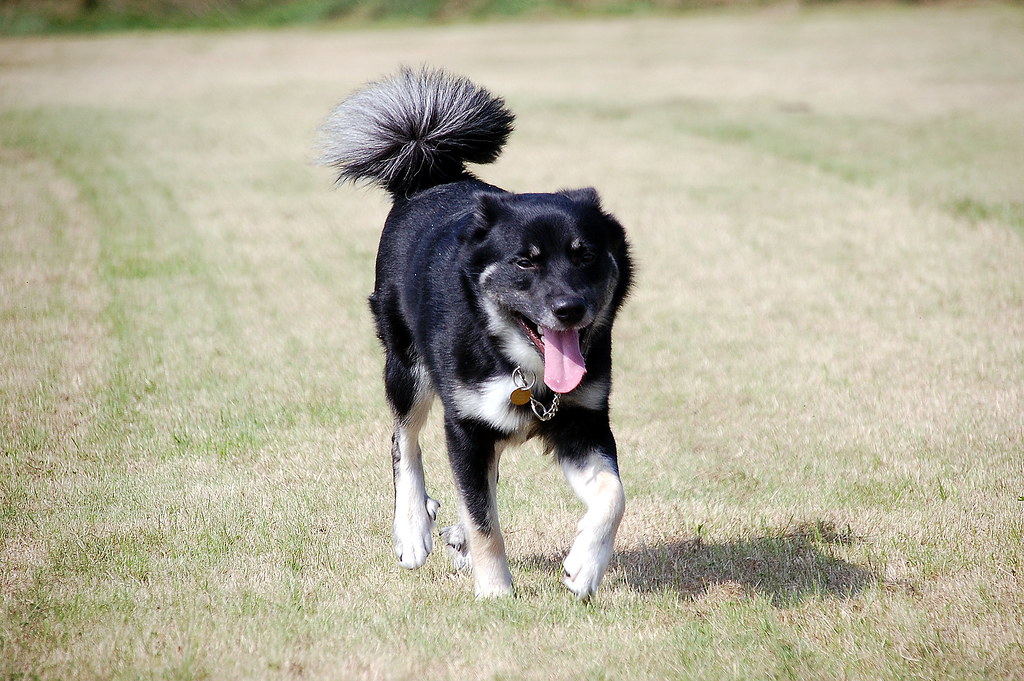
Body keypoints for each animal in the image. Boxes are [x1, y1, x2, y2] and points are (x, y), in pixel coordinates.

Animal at [317, 67, 630, 602]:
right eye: (525, 261)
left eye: (585, 254)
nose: (570, 310)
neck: (521, 365)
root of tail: (429, 177)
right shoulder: (464, 424)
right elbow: (485, 520)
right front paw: (496, 591)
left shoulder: (583, 421)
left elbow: (613, 495)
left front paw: (584, 568)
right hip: (407, 368)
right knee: (404, 441)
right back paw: (413, 529)